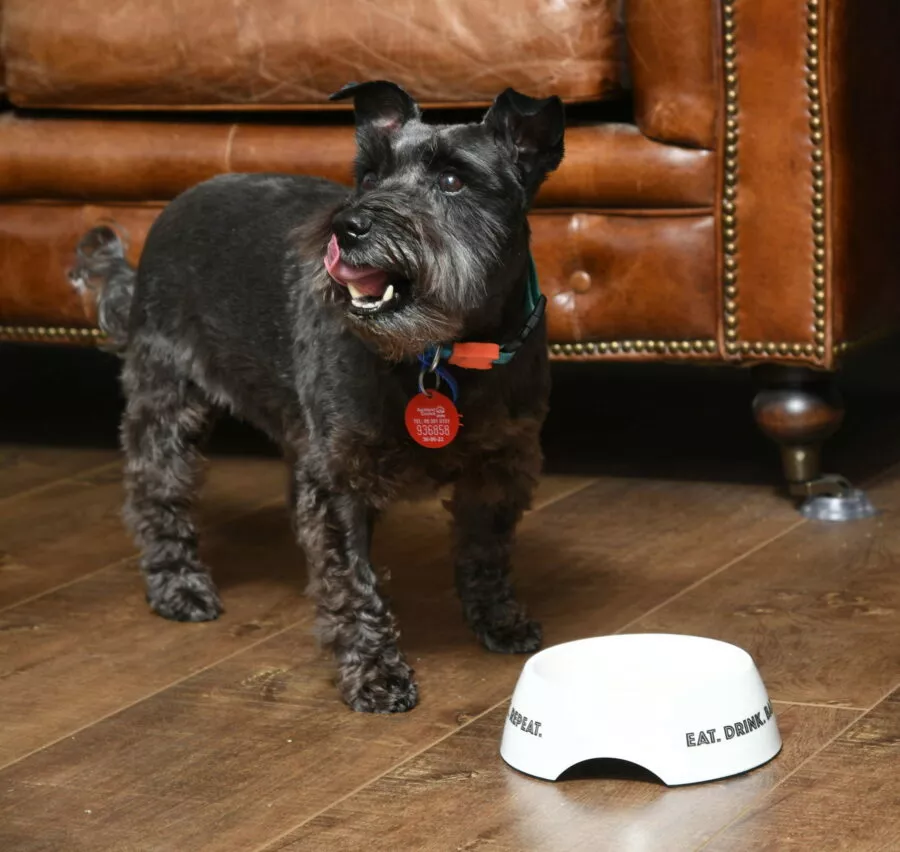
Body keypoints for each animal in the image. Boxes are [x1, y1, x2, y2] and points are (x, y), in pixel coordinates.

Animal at [72, 81, 564, 712]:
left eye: (454, 180)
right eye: (369, 175)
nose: (347, 227)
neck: (439, 353)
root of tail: (170, 212)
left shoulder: (502, 465)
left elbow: (486, 550)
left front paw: (498, 620)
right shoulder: (337, 480)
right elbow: (350, 581)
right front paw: (374, 673)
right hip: (168, 402)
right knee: (155, 496)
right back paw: (178, 586)